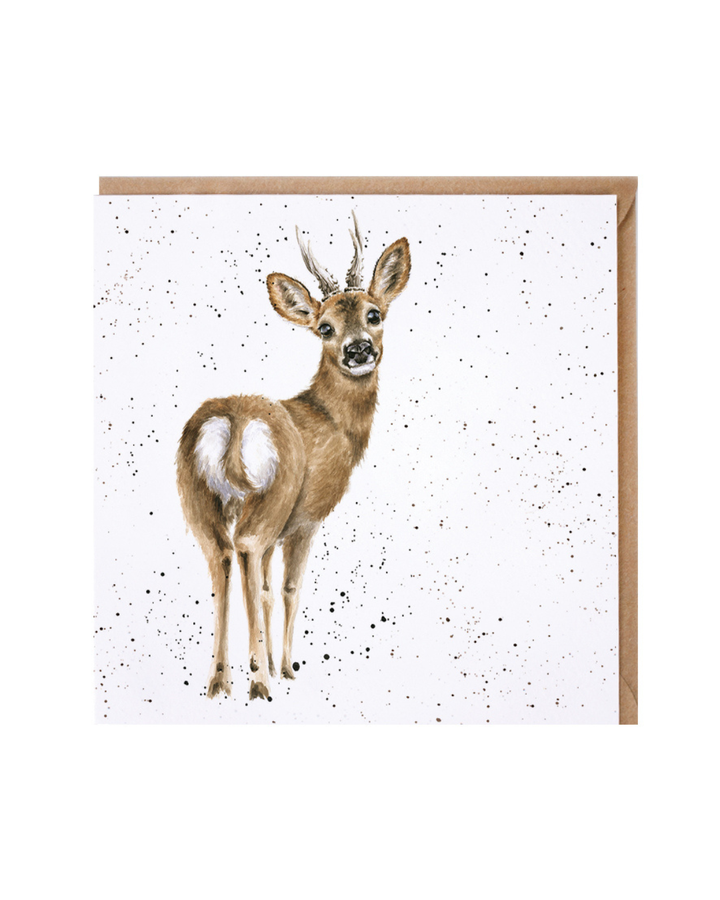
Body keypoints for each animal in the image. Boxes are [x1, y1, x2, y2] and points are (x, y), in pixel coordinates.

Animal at [176, 213, 411, 700]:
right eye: (325, 327)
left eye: (374, 314)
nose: (359, 349)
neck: (331, 422)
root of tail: (235, 418)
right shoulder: (305, 518)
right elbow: (287, 588)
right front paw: (283, 668)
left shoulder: (280, 528)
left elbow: (264, 587)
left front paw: (266, 663)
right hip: (273, 496)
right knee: (244, 548)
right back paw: (259, 682)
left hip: (198, 498)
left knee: (221, 556)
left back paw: (219, 682)